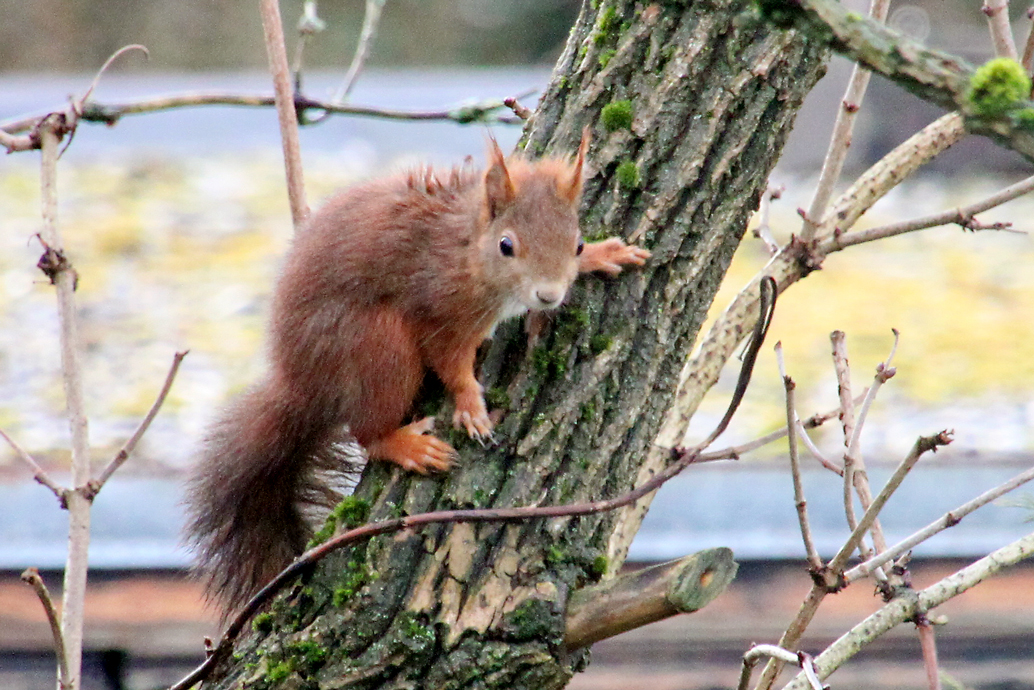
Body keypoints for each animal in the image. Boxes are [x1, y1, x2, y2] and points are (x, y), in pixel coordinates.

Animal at [184, 134, 645, 616]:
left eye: (577, 243)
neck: (466, 248)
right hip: (378, 347)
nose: (549, 295)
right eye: (506, 245)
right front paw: (471, 407)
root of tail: (303, 384)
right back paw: (407, 446)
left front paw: (607, 253)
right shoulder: (438, 314)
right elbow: (450, 363)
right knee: (367, 431)